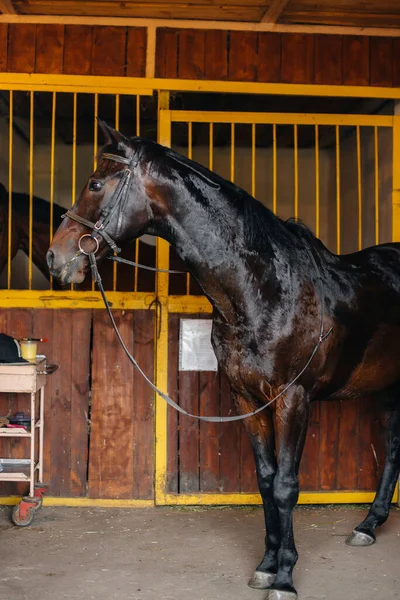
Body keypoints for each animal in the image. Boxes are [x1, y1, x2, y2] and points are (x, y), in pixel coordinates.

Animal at [46, 119, 400, 596]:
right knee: (393, 445)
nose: (56, 257)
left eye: (96, 184)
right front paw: (267, 564)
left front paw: (285, 578)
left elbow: (286, 485)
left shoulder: (293, 399)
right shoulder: (246, 399)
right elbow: (266, 481)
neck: (265, 289)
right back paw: (367, 525)